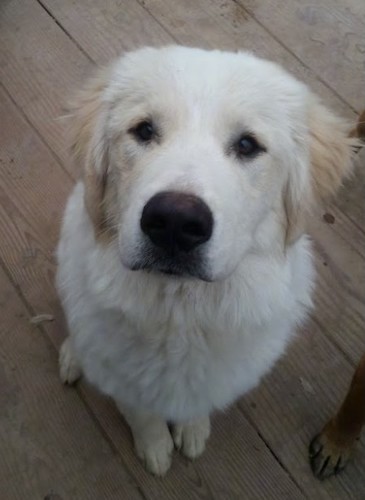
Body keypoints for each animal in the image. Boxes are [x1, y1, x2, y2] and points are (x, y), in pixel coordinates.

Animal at [56, 45, 356, 474]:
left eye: (247, 145)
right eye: (144, 131)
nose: (175, 223)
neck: (184, 315)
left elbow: (200, 404)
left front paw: (193, 430)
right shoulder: (125, 382)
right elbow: (142, 415)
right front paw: (156, 448)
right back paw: (72, 358)